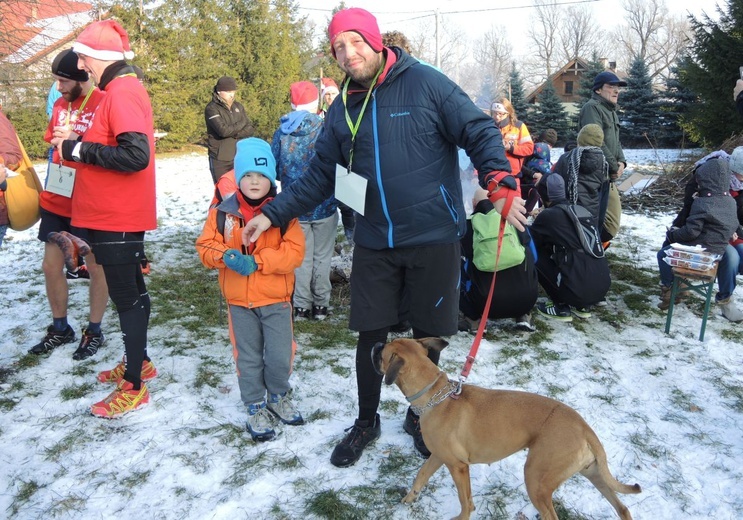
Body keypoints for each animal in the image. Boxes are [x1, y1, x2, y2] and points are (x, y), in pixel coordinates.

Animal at [374, 338, 644, 520]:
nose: (375, 344)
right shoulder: (440, 457)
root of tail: (585, 428)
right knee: (622, 508)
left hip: (536, 479)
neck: (435, 395)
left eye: (383, 354)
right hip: (594, 475)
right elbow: (421, 475)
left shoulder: (458, 466)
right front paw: (410, 497)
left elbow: (465, 502)